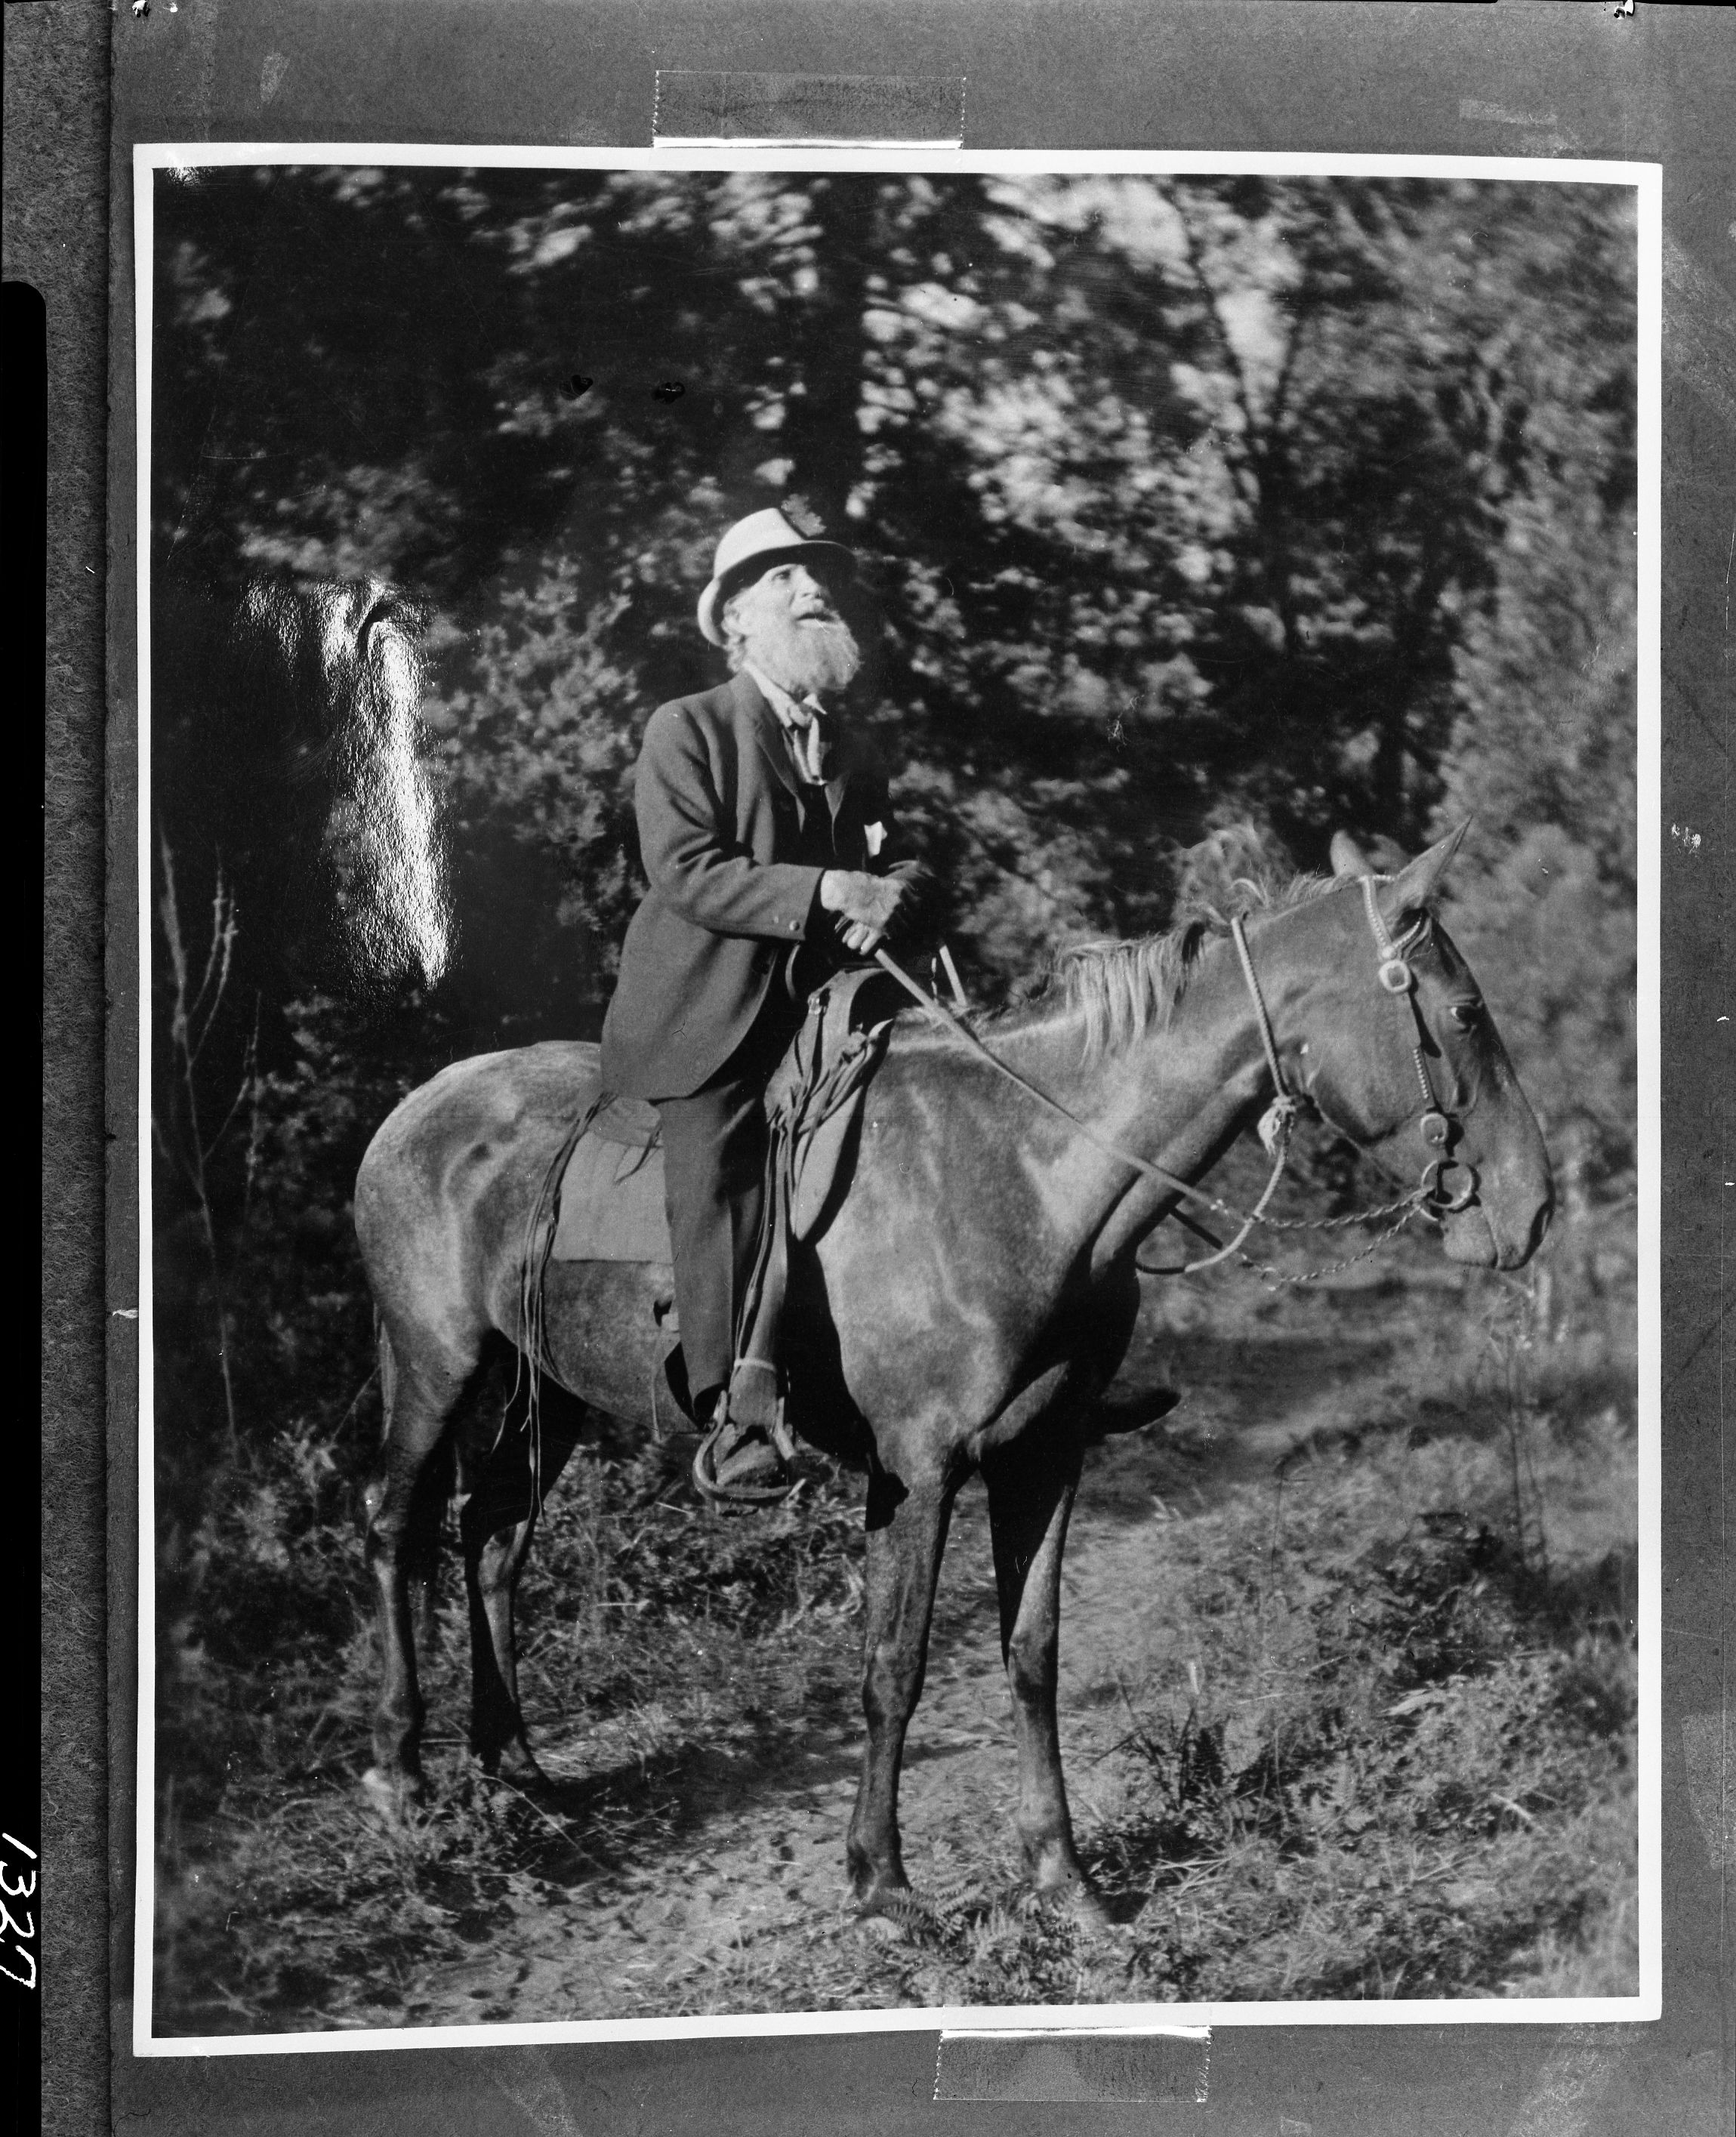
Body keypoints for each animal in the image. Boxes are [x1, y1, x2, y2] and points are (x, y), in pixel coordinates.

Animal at [348, 825, 1547, 1914]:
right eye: (1463, 1012)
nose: (1531, 1207)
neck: (1029, 1167)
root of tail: (415, 1106)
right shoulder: (916, 1469)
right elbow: (896, 1666)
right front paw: (882, 1882)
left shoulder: (1043, 1455)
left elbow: (1031, 1653)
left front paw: (1063, 1875)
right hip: (437, 1362)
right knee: (398, 1522)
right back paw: (403, 1773)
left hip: (542, 1390)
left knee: (493, 1536)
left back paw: (512, 1762)